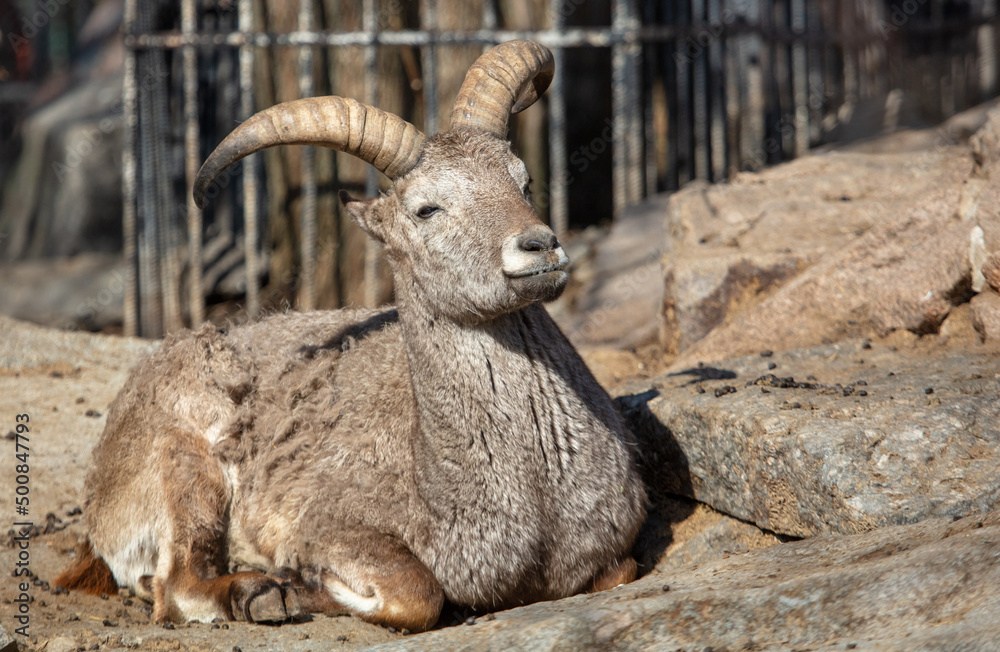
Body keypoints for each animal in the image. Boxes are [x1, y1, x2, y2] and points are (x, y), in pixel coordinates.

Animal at [56, 39, 648, 632]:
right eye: (426, 208)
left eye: (521, 181)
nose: (540, 245)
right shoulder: (333, 523)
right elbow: (417, 594)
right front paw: (297, 581)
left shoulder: (613, 552)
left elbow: (623, 570)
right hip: (185, 467)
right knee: (176, 586)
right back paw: (258, 593)